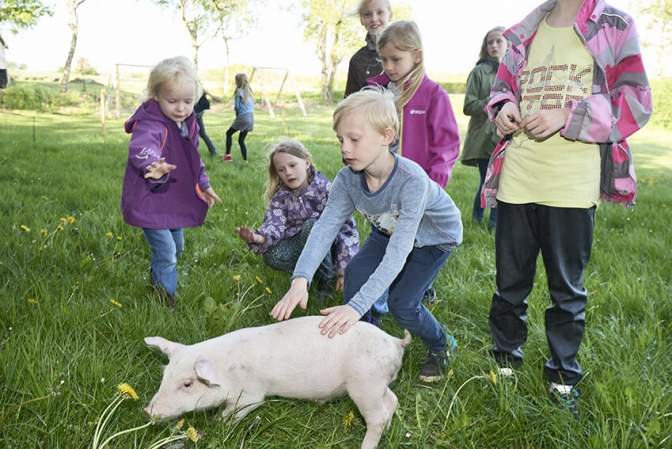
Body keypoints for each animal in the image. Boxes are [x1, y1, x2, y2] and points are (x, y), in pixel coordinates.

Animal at [144, 316, 412, 448]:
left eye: (187, 384)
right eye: (165, 375)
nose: (147, 411)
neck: (226, 372)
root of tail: (395, 342)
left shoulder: (250, 395)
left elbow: (233, 413)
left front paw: (218, 424)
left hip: (365, 383)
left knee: (378, 416)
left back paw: (366, 445)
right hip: (378, 384)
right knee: (392, 401)